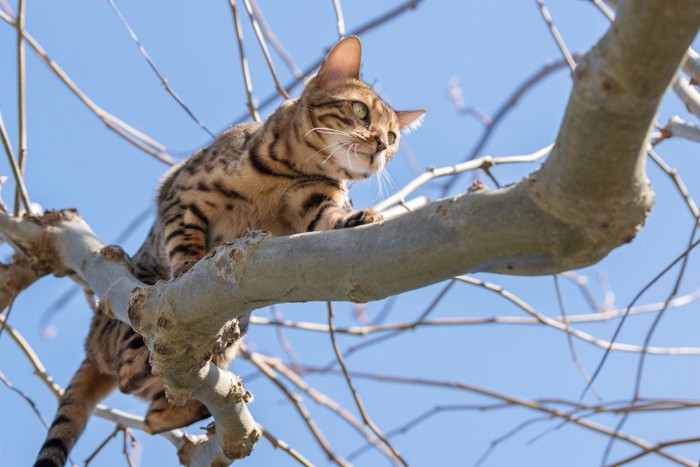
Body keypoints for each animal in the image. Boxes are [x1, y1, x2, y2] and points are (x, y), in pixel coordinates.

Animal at [32, 34, 424, 466]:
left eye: (394, 137)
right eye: (360, 111)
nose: (381, 145)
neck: (292, 172)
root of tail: (90, 346)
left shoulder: (316, 205)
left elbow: (334, 219)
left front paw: (361, 217)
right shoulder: (181, 193)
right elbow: (183, 238)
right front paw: (190, 264)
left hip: (237, 329)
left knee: (153, 411)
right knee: (131, 376)